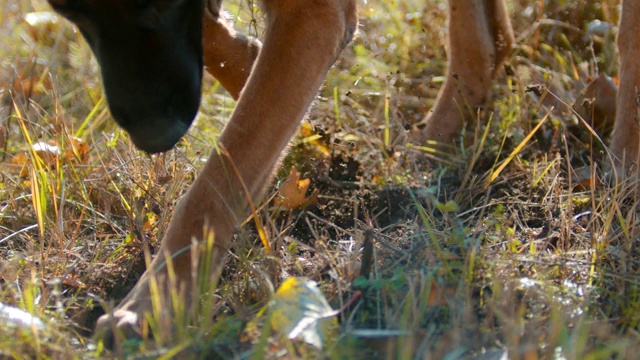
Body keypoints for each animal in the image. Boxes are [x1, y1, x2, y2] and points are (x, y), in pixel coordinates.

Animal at [46, 0, 640, 344]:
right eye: (74, 15)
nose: (155, 139)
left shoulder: (311, 16)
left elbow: (217, 179)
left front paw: (155, 305)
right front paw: (257, 69)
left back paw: (623, 168)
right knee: (489, 43)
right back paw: (433, 142)